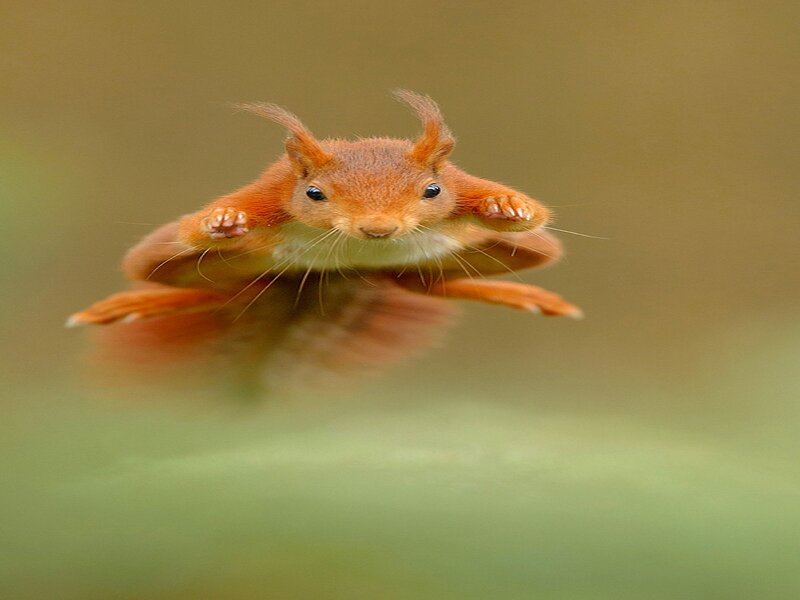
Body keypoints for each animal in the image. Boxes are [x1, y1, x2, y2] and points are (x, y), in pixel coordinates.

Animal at [68, 90, 581, 393]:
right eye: (315, 193)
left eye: (432, 190)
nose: (378, 229)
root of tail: (338, 278)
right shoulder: (271, 194)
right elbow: (199, 226)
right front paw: (223, 220)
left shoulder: (462, 185)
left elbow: (529, 213)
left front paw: (506, 206)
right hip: (193, 262)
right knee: (211, 288)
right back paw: (127, 305)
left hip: (458, 259)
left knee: (427, 284)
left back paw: (527, 296)